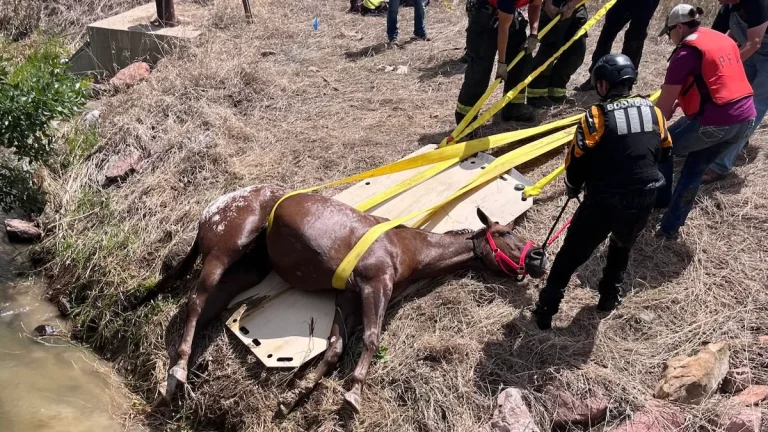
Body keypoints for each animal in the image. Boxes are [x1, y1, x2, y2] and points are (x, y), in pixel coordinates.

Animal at [137, 184, 548, 414]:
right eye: (506, 233)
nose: (539, 259)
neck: (404, 246)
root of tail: (214, 208)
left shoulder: (348, 297)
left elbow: (335, 346)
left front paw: (295, 395)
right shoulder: (374, 286)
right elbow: (371, 339)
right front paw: (353, 394)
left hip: (247, 269)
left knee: (207, 308)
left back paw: (185, 368)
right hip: (225, 251)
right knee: (195, 301)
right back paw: (177, 373)